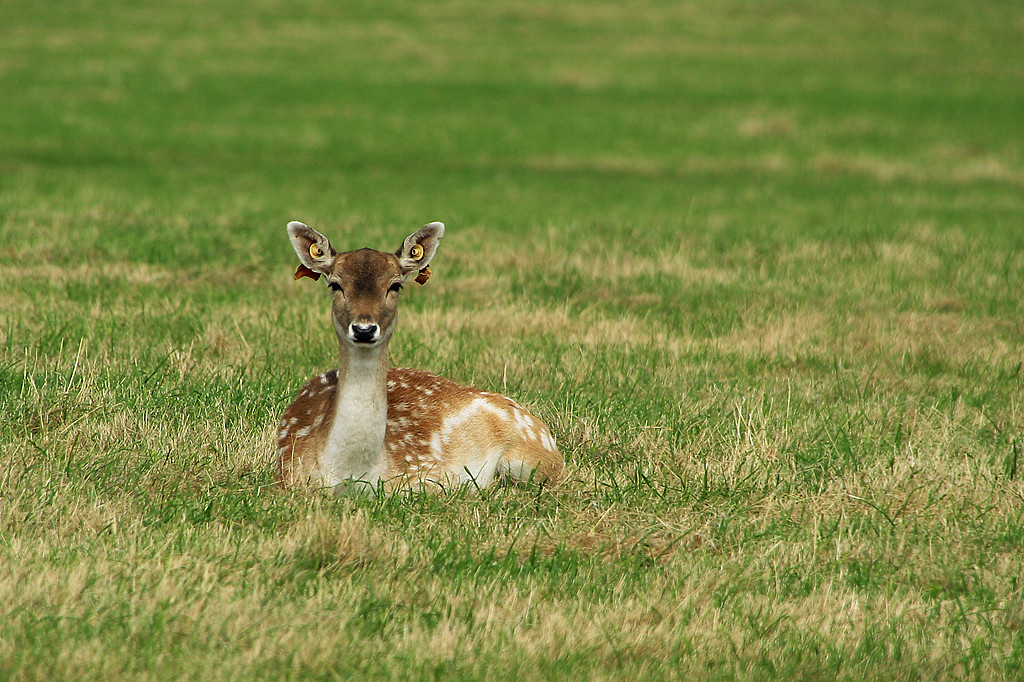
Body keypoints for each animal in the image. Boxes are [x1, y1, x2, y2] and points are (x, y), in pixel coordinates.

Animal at [276, 220, 565, 491]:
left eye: (395, 286)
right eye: (335, 285)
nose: (364, 329)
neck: (352, 472)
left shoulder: (428, 477)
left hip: (533, 456)